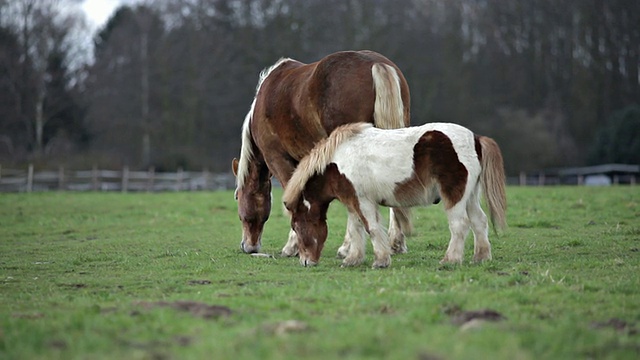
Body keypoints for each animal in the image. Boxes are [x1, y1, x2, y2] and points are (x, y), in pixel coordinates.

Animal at [232, 50, 412, 262]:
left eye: (237, 196)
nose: (249, 246)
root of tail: (376, 64)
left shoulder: (278, 159)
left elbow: (293, 198)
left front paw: (292, 246)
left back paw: (347, 248)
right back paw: (395, 243)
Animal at [282, 122, 508, 266]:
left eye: (296, 226)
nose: (305, 262)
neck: (337, 163)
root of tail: (476, 139)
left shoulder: (363, 202)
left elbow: (371, 228)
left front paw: (381, 261)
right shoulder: (353, 203)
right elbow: (356, 230)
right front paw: (353, 260)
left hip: (454, 196)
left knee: (460, 225)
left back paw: (450, 260)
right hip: (470, 197)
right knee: (479, 221)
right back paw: (480, 257)